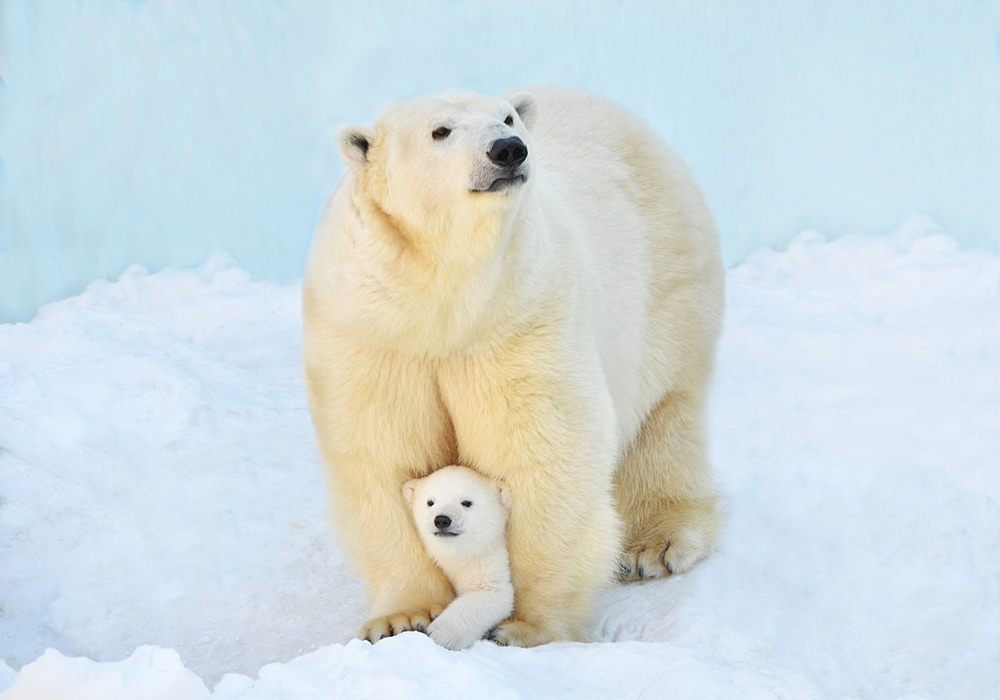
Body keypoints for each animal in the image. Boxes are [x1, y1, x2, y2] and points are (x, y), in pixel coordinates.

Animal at [403, 465, 514, 650]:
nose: (441, 520)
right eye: (430, 502)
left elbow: (492, 592)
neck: (456, 552)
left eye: (466, 502)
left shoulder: (484, 557)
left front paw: (439, 634)